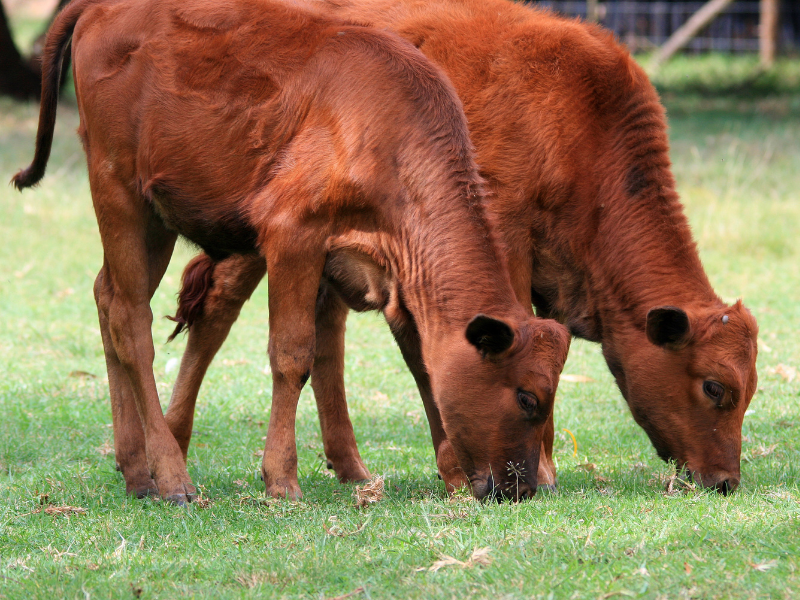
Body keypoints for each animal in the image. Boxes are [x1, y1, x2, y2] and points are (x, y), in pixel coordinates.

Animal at [13, 0, 572, 502]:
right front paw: (281, 479)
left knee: (108, 300)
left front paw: (452, 473)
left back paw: (136, 472)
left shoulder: (390, 277)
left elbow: (420, 363)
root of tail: (101, 7)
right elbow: (292, 355)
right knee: (132, 322)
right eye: (528, 397)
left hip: (156, 218)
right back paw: (171, 478)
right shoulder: (292, 233)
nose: (521, 490)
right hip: (119, 193)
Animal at [162, 0, 758, 494]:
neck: (583, 119)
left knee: (325, 332)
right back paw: (174, 446)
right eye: (714, 387)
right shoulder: (507, 238)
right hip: (257, 236)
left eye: (748, 393)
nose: (726, 480)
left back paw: (350, 467)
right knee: (217, 310)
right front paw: (544, 471)